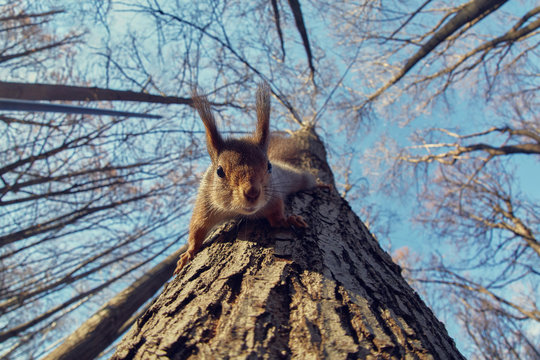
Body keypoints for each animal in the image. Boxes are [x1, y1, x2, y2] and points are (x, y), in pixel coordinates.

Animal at [175, 83, 326, 274]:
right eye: (219, 171)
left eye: (268, 166)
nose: (252, 192)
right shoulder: (205, 203)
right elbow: (197, 228)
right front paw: (188, 253)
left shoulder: (274, 197)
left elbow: (277, 215)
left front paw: (287, 220)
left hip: (297, 177)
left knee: (307, 180)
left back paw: (321, 185)